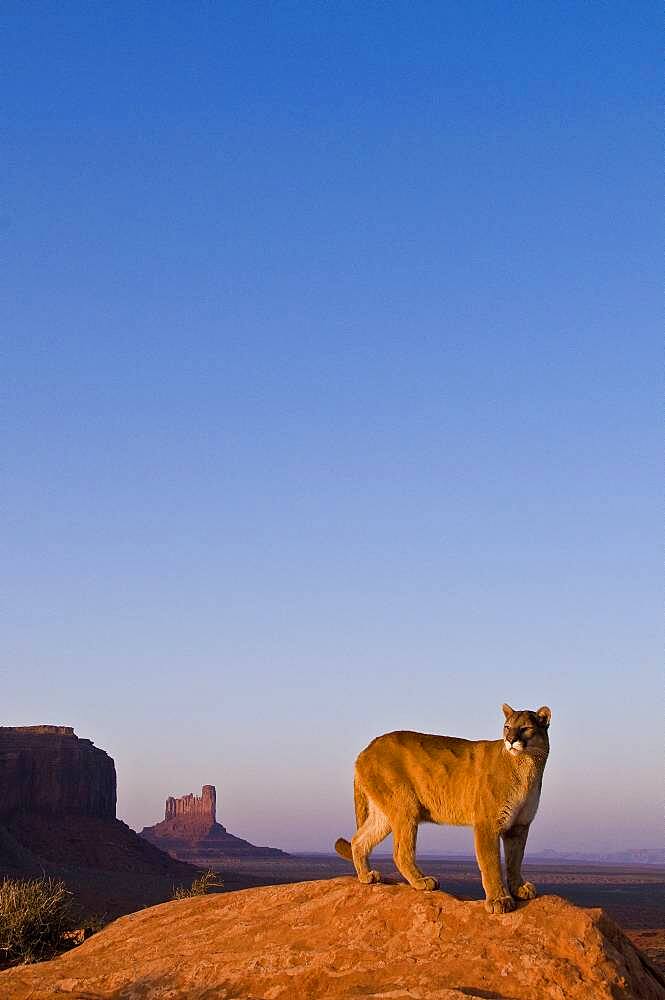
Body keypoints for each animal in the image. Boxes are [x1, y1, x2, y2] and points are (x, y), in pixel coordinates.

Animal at [338, 704, 548, 916]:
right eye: (507, 727)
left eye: (525, 728)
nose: (510, 740)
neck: (527, 768)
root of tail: (366, 750)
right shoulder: (487, 825)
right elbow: (491, 863)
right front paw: (499, 900)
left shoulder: (519, 826)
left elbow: (515, 860)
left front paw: (519, 888)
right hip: (406, 807)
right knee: (401, 852)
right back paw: (421, 881)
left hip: (384, 815)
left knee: (359, 839)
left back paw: (366, 876)